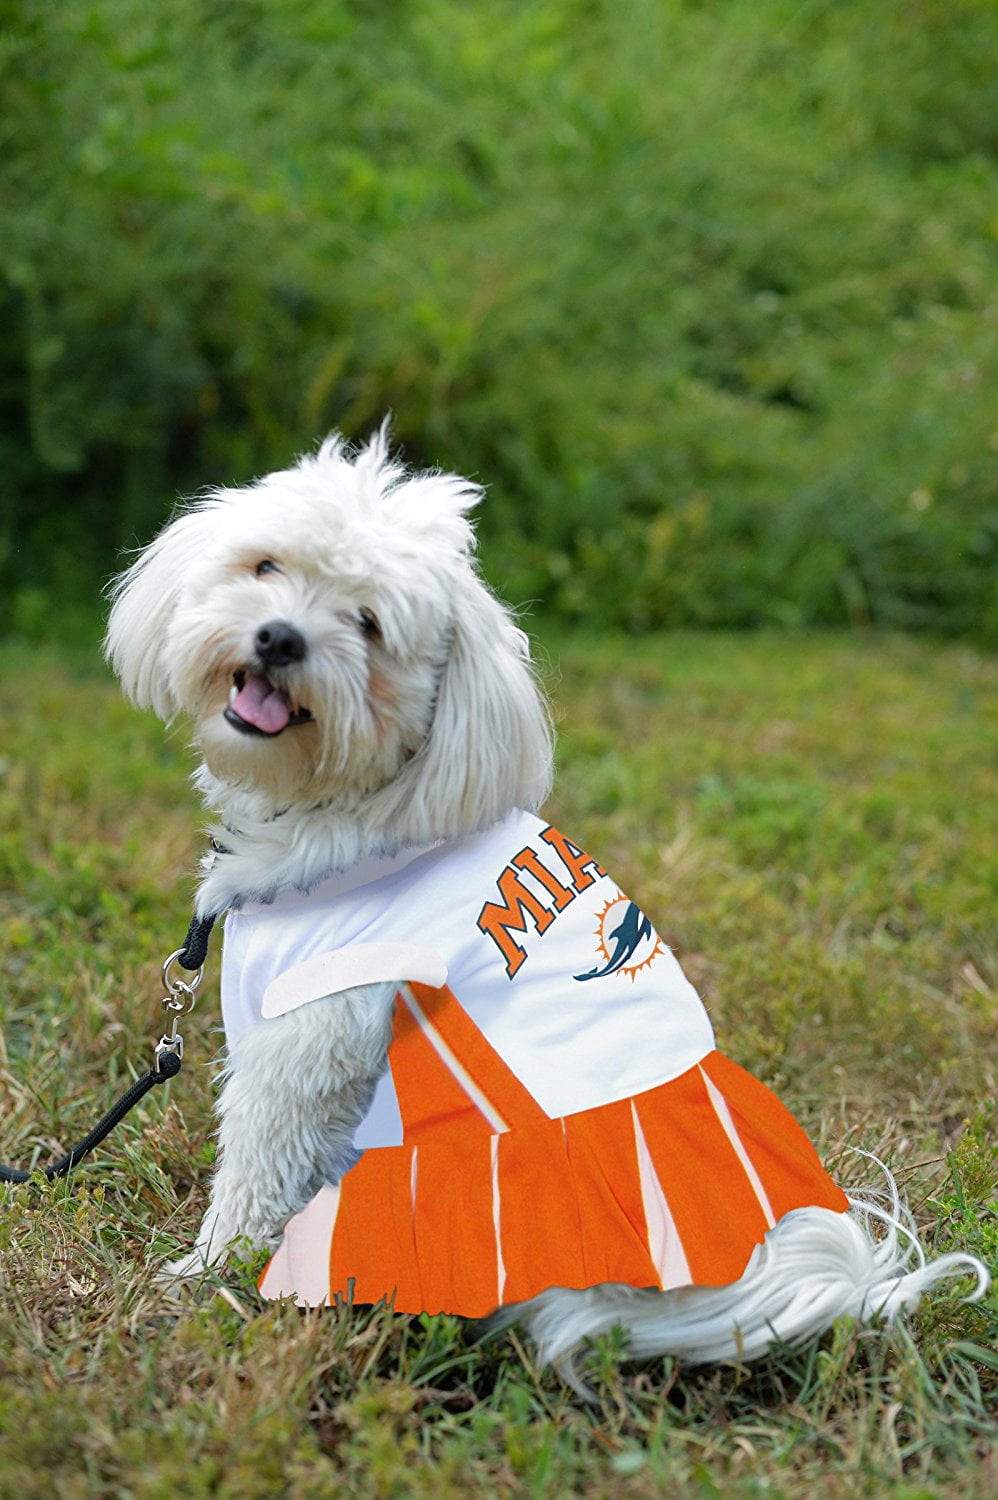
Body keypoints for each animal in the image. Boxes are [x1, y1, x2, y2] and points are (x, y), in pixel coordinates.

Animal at [102, 426, 990, 1374]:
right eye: (266, 566)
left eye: (367, 624)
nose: (278, 638)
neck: (355, 801)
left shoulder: (305, 1038)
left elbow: (255, 1167)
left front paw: (204, 1271)